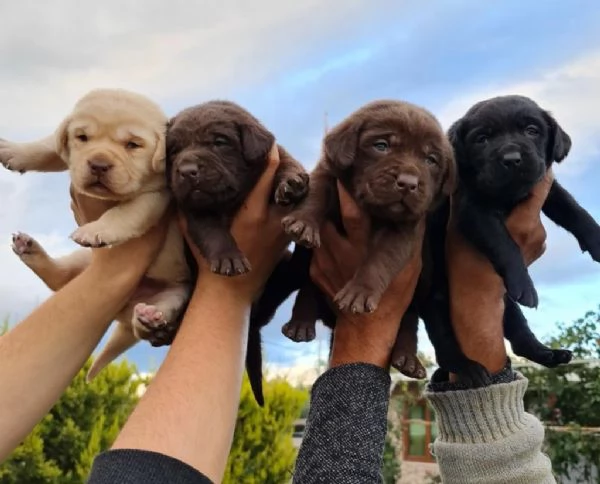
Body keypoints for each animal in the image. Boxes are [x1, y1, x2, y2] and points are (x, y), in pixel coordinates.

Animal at [0, 89, 191, 380]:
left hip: (175, 293)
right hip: (83, 261)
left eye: (133, 145)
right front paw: (14, 150)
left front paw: (96, 229)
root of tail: (125, 307)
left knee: (149, 319)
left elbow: (124, 213)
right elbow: (48, 147)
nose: (98, 164)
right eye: (82, 138)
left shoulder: (156, 196)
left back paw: (150, 317)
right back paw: (29, 248)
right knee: (60, 278)